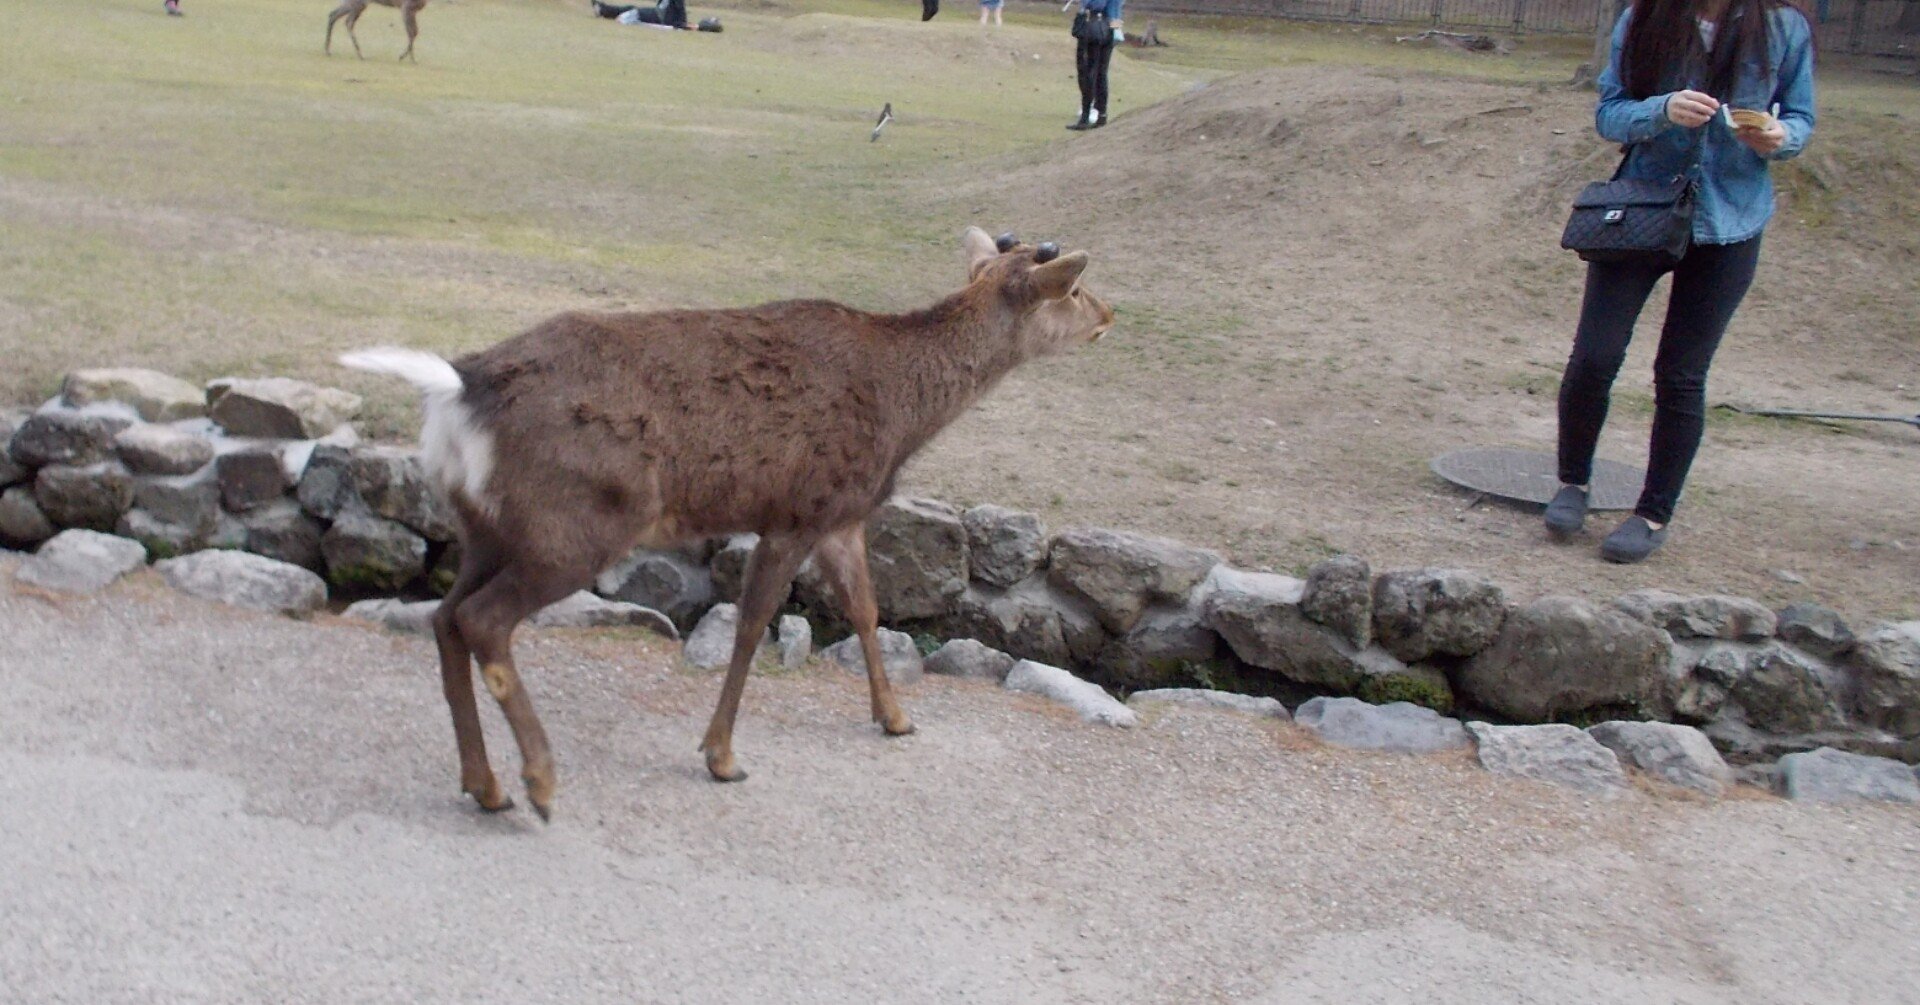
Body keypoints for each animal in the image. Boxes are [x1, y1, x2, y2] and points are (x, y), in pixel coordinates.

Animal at [343, 229, 1121, 826]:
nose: (1112, 313)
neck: (905, 416)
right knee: (483, 620)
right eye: (1073, 288)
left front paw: (895, 717)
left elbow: (867, 610)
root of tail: (460, 387)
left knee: (444, 617)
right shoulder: (798, 509)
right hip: (580, 519)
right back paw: (538, 780)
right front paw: (720, 755)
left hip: (486, 526)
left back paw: (485, 785)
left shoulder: (841, 513)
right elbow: (751, 624)